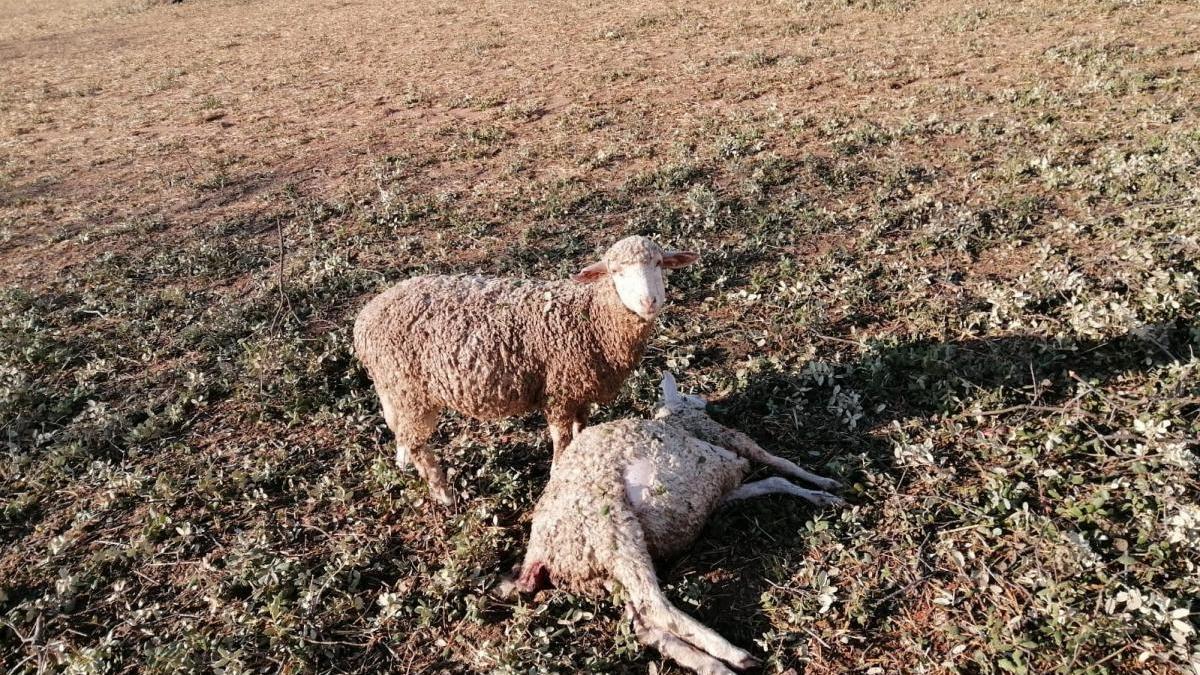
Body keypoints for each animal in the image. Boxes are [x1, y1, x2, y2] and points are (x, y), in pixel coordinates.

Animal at [350, 234, 700, 502]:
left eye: (658, 264)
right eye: (616, 271)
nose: (649, 302)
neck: (592, 316)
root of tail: (364, 319)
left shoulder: (579, 389)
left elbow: (581, 428)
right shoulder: (559, 391)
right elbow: (561, 439)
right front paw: (559, 472)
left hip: (394, 389)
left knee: (399, 429)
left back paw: (403, 461)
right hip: (411, 390)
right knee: (417, 442)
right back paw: (444, 494)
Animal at [506, 369, 844, 667]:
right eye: (684, 392)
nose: (704, 400)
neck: (677, 419)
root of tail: (539, 557)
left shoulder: (721, 491)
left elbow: (774, 481)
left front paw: (823, 496)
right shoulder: (731, 444)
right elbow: (779, 463)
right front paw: (825, 483)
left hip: (600, 570)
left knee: (643, 624)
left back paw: (710, 665)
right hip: (610, 528)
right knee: (654, 605)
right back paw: (733, 654)